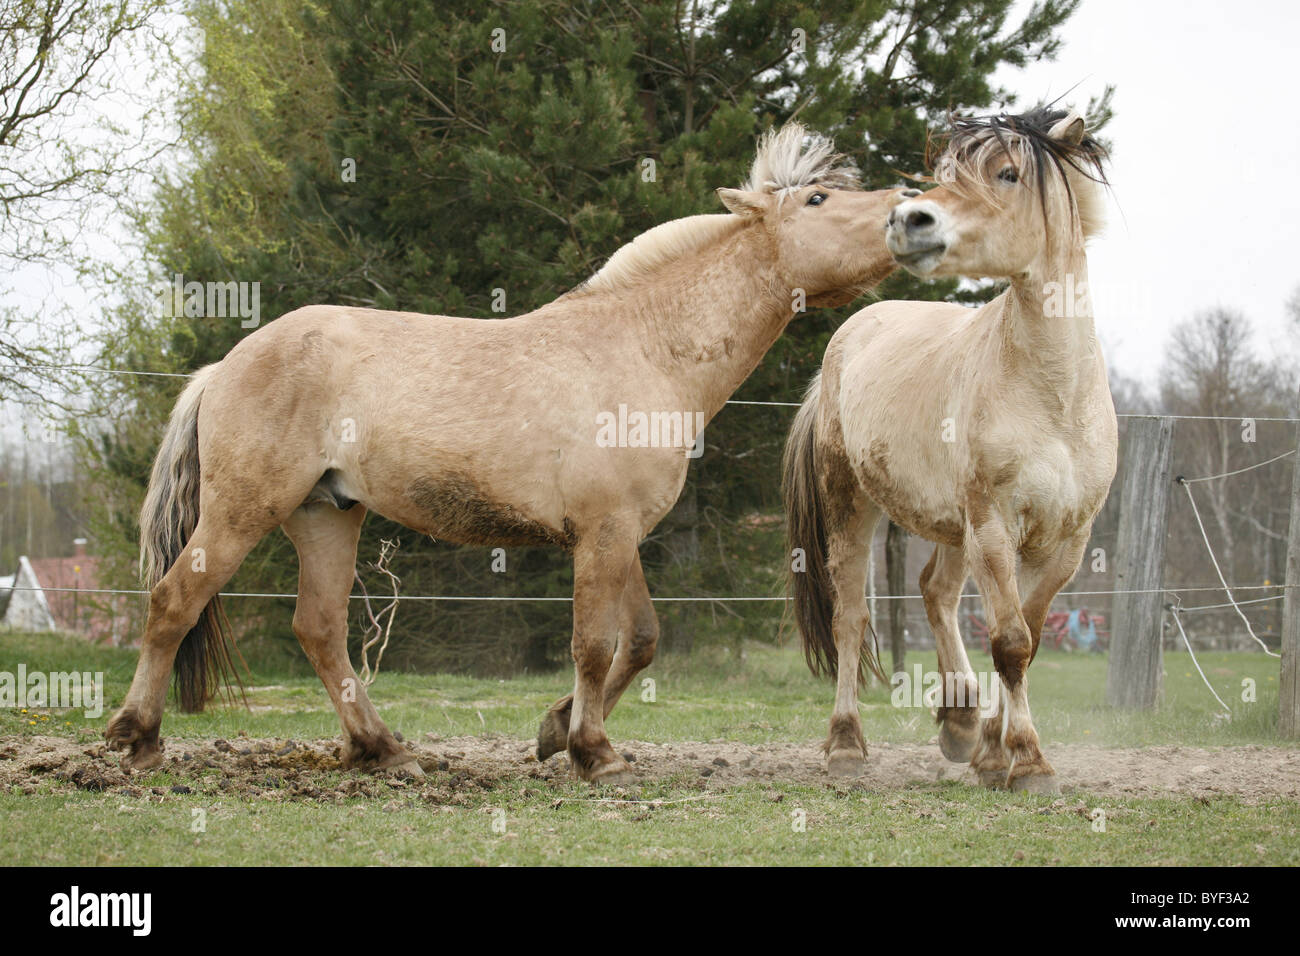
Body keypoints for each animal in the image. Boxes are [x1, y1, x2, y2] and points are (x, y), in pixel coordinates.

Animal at [104, 125, 915, 785]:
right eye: (817, 198)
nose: (911, 209)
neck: (644, 347)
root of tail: (223, 367)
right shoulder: (602, 533)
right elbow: (591, 645)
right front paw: (594, 753)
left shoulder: (620, 534)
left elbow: (640, 641)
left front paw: (558, 731)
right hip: (244, 511)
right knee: (173, 602)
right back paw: (138, 739)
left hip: (325, 515)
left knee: (320, 630)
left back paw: (383, 751)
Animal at [780, 106, 1118, 790]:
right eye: (945, 174)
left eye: (1009, 174)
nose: (907, 221)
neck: (1056, 396)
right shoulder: (993, 528)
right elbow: (1010, 642)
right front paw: (1029, 761)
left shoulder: (1066, 543)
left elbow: (1027, 639)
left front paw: (995, 753)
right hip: (854, 508)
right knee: (851, 617)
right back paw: (846, 745)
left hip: (949, 526)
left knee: (935, 592)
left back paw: (963, 724)